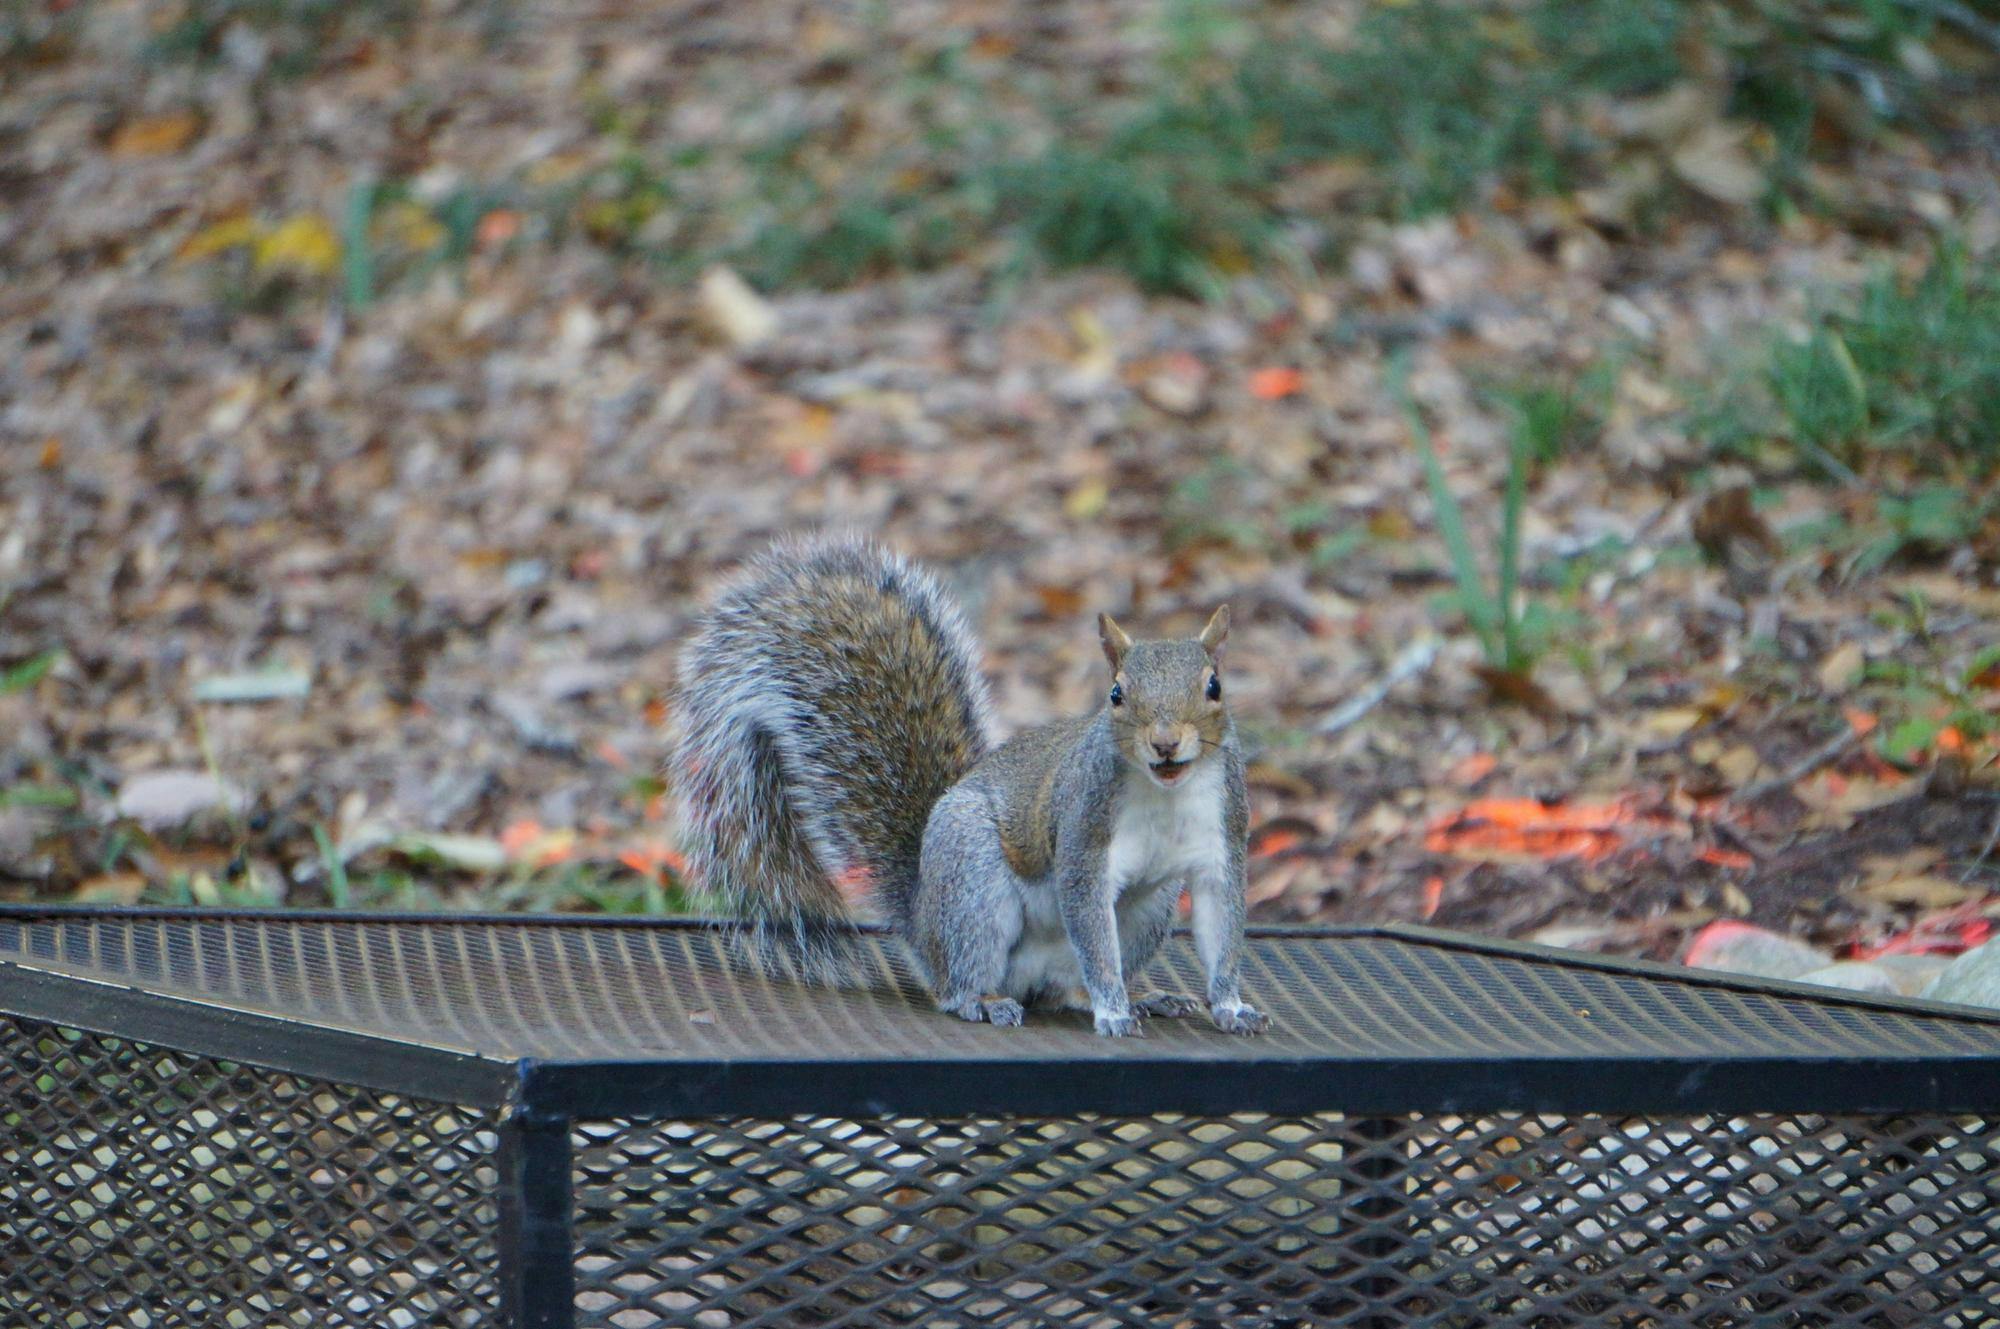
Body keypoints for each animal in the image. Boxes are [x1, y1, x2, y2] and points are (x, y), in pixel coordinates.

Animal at [672, 535, 1267, 1038]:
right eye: (1116, 694)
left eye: (1214, 687)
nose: (1165, 743)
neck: (1165, 792)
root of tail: (923, 921)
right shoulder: (1083, 835)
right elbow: (1094, 936)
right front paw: (1114, 1010)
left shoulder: (1221, 839)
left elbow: (1222, 926)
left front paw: (1231, 1006)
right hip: (973, 885)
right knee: (961, 984)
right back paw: (983, 1000)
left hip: (1150, 909)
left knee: (1067, 988)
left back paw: (1140, 996)